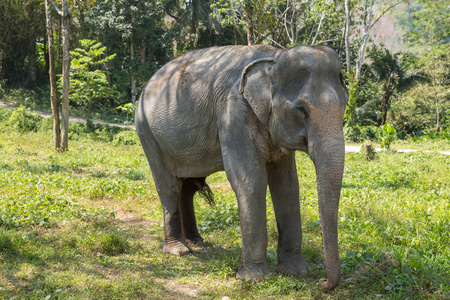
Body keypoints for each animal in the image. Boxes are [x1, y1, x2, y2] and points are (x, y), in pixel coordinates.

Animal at [135, 45, 350, 290]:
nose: (322, 281)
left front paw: (296, 272)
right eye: (302, 109)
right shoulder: (233, 113)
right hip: (147, 132)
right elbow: (251, 181)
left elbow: (287, 187)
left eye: (344, 106)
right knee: (170, 187)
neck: (274, 58)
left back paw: (197, 243)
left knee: (187, 188)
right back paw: (179, 251)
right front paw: (254, 278)